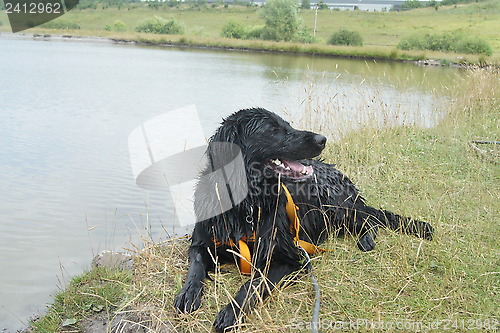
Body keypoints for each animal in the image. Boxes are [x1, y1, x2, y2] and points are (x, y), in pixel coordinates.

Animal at [174, 107, 432, 330]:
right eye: (273, 129)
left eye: (288, 124)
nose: (322, 139)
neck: (247, 205)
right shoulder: (201, 242)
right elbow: (196, 266)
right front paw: (188, 294)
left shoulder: (286, 258)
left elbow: (252, 285)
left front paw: (231, 312)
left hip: (337, 208)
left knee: (371, 219)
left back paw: (367, 240)